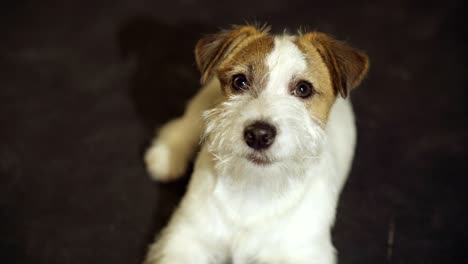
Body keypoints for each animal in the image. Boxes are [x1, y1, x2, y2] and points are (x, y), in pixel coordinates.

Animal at [143, 25, 370, 264]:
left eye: (303, 89)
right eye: (240, 81)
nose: (259, 135)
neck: (256, 187)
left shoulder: (305, 253)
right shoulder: (187, 237)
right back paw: (167, 157)